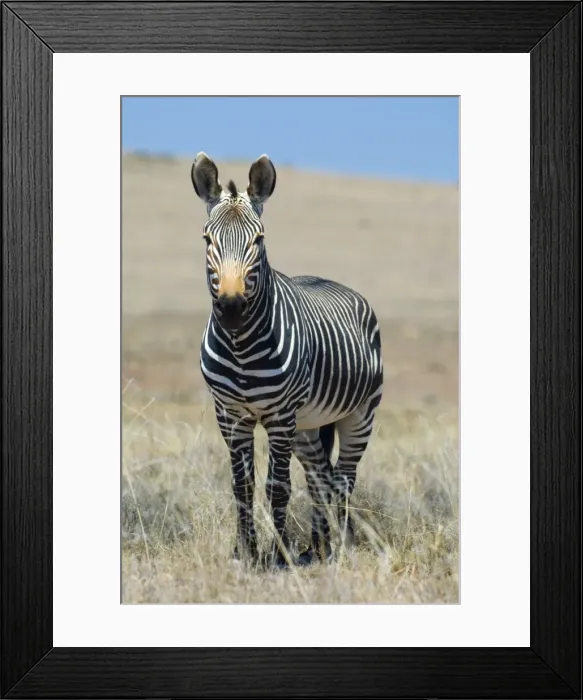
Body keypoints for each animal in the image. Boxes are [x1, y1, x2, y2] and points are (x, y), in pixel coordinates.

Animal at [192, 152, 383, 568]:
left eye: (259, 239)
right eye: (207, 238)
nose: (231, 308)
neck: (241, 346)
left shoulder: (280, 416)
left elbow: (277, 487)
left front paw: (277, 556)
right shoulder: (229, 414)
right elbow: (242, 486)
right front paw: (245, 552)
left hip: (358, 415)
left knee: (343, 478)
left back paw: (342, 547)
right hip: (307, 426)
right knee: (320, 477)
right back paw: (318, 547)